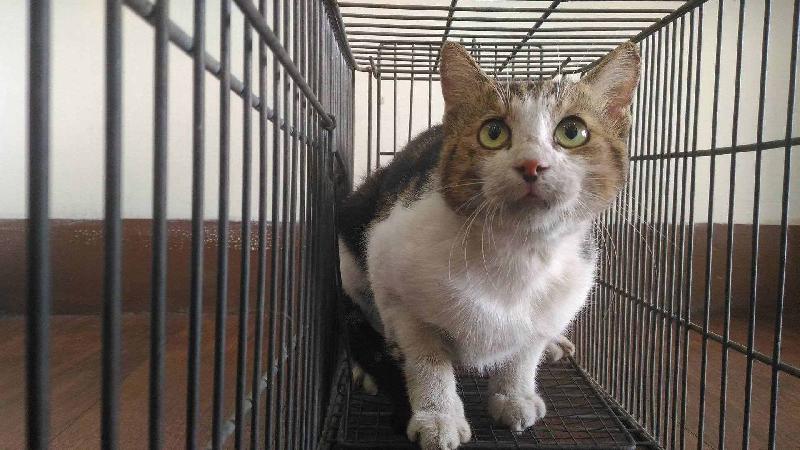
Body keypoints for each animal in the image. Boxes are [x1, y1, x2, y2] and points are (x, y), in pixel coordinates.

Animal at [337, 41, 639, 450]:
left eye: (572, 131)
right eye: (493, 133)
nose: (532, 164)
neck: (516, 253)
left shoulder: (569, 286)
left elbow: (525, 351)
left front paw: (515, 395)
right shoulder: (393, 277)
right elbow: (426, 358)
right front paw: (438, 416)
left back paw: (554, 344)